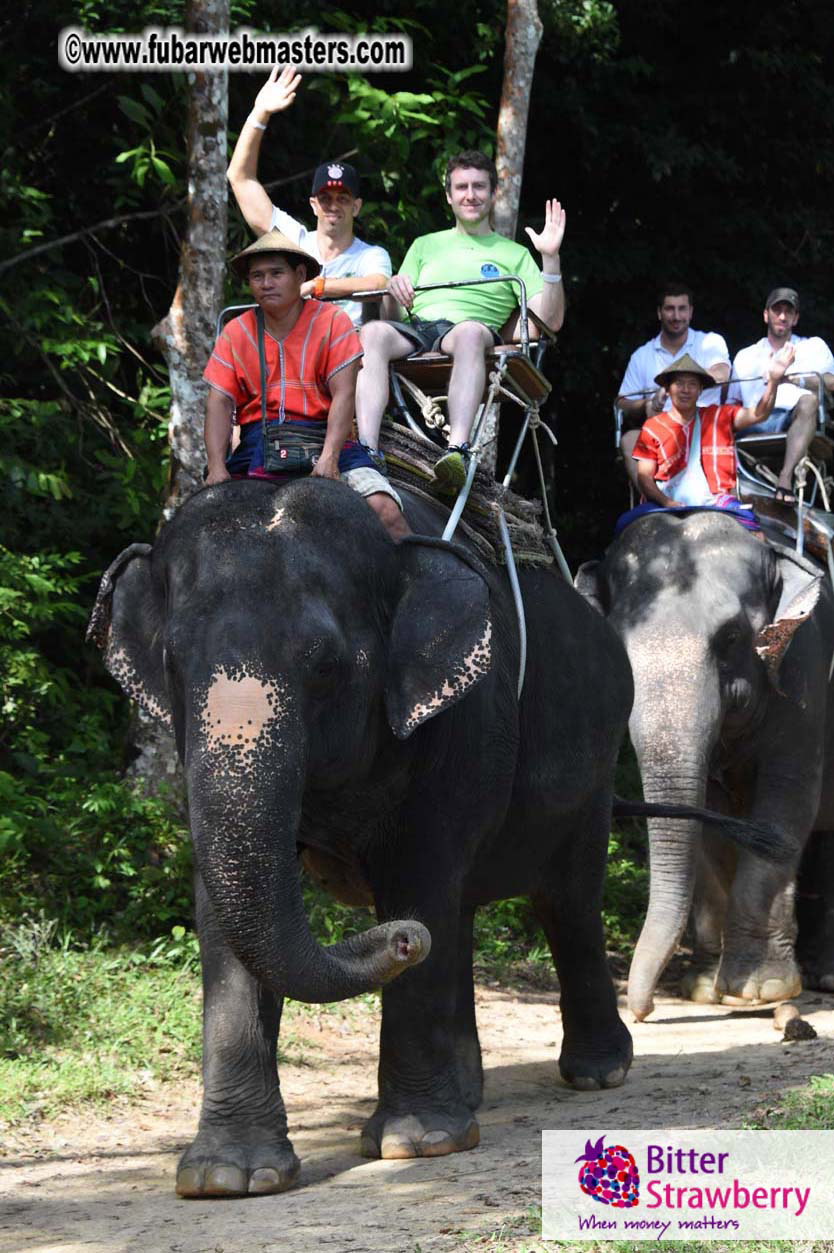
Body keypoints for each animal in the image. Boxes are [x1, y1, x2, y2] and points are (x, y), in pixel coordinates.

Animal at [576, 509, 834, 1021]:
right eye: (617, 642)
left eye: (731, 637)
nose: (642, 1012)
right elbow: (712, 820)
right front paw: (703, 989)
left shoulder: (805, 672)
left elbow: (787, 801)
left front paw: (761, 990)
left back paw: (826, 978)